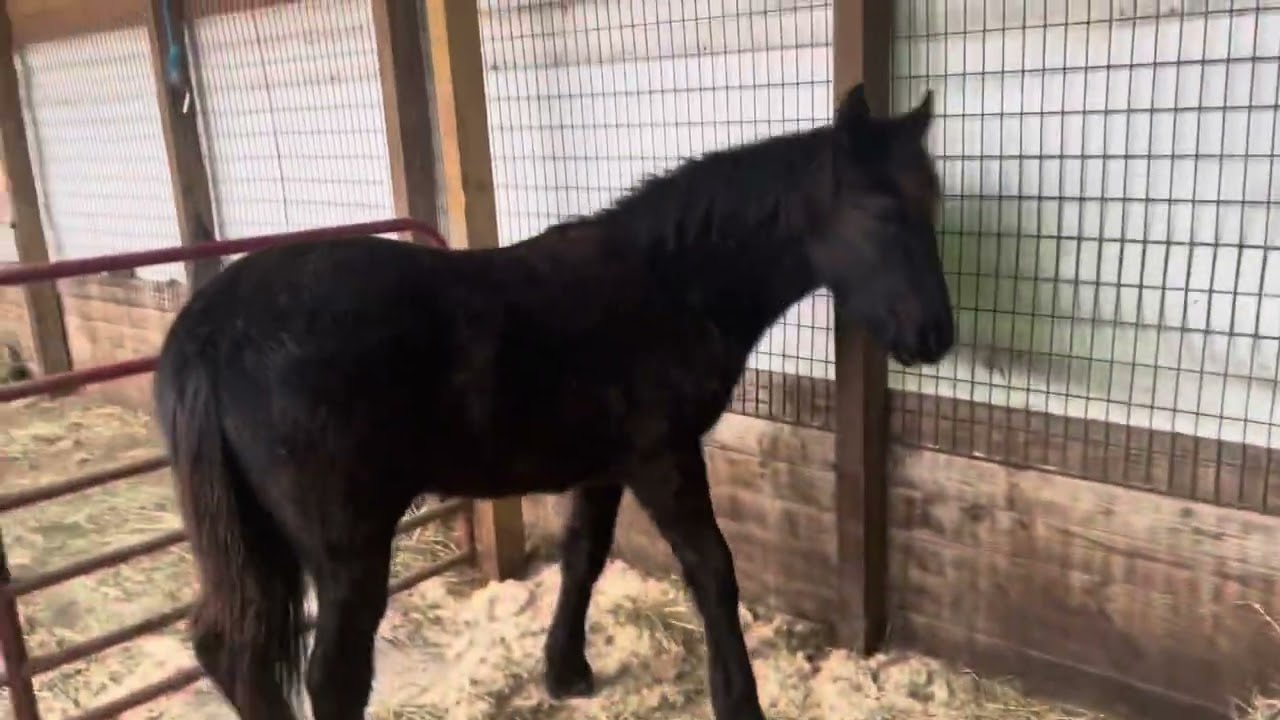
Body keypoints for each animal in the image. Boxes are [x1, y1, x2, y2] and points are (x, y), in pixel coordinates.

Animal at [152, 83, 952, 720]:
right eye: (883, 212)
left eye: (933, 207)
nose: (936, 335)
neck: (668, 282)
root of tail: (212, 332)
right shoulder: (663, 457)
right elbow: (712, 571)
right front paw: (738, 701)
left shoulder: (604, 468)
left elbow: (583, 559)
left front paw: (565, 671)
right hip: (344, 548)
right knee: (331, 677)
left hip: (260, 538)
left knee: (229, 649)